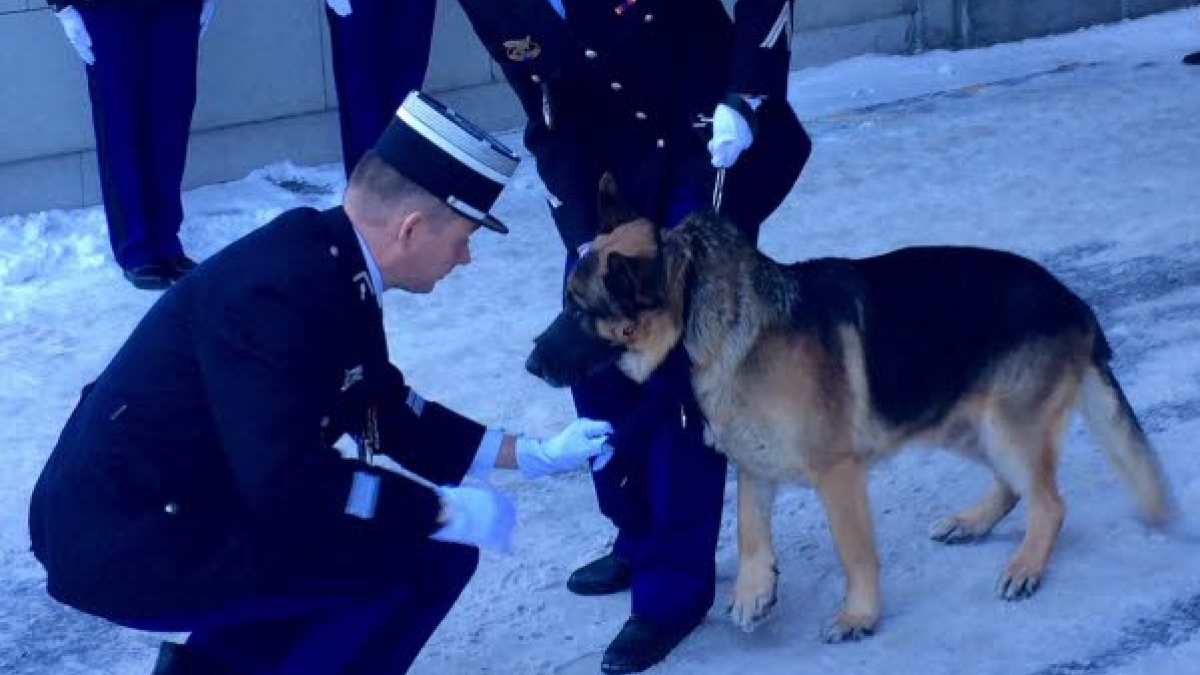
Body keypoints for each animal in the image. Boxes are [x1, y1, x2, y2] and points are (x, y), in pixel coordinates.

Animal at [528, 176, 1171, 638]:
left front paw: (861, 615)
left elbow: (854, 550)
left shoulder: (836, 473)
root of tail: (1074, 301)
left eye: (580, 310)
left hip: (1003, 425)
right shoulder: (754, 462)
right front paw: (754, 590)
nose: (531, 364)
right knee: (1020, 490)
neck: (710, 314)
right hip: (964, 424)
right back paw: (973, 523)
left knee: (1050, 502)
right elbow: (748, 528)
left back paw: (1026, 566)